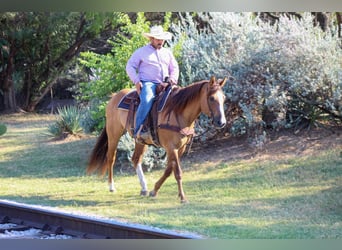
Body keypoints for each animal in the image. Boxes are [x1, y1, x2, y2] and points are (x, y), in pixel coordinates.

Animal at [86, 75, 227, 203]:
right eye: (211, 98)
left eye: (224, 98)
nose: (221, 122)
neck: (177, 112)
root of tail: (115, 96)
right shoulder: (171, 147)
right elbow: (177, 172)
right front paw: (183, 197)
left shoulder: (180, 148)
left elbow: (169, 170)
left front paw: (154, 190)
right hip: (114, 134)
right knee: (111, 158)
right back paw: (111, 186)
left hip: (140, 141)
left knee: (135, 159)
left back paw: (144, 188)